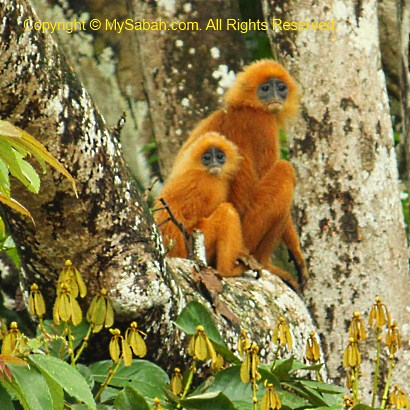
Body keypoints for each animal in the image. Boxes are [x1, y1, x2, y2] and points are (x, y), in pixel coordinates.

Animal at [155, 133, 248, 278]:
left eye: (219, 156)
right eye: (207, 158)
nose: (214, 163)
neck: (206, 173)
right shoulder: (201, 183)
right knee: (227, 211)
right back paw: (226, 271)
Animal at [177, 59, 308, 290]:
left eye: (280, 87)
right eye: (265, 89)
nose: (275, 96)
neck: (244, 107)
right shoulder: (264, 126)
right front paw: (296, 251)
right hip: (246, 232)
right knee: (285, 170)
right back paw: (265, 264)